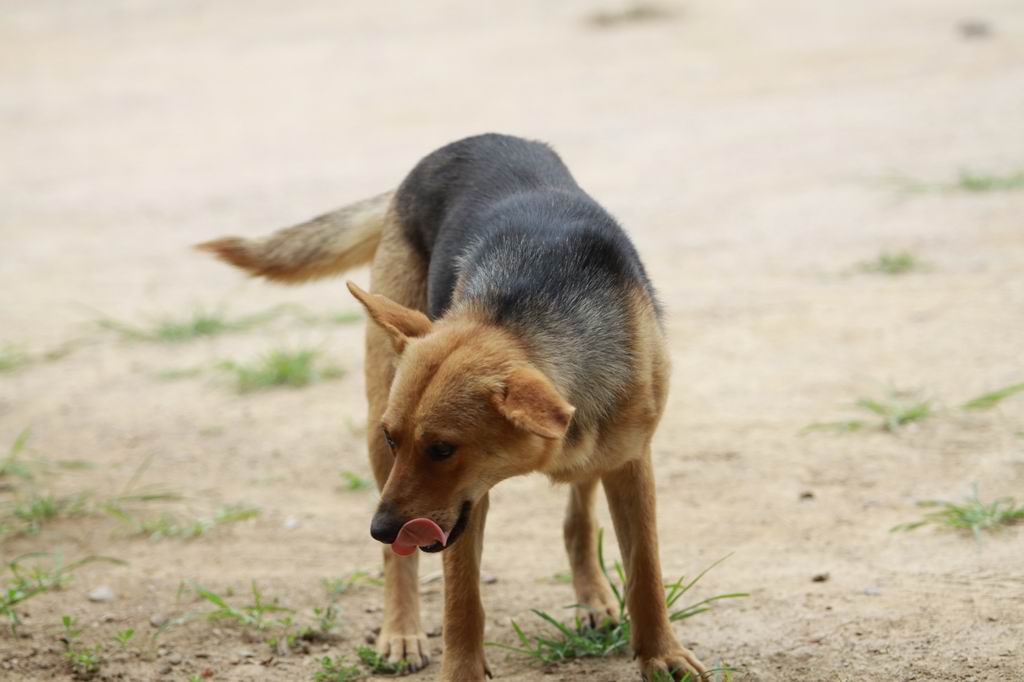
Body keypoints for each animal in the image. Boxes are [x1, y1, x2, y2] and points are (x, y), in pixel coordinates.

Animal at [200, 134, 712, 679]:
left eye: (443, 449)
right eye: (395, 438)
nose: (380, 530)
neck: (526, 309)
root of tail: (465, 142)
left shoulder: (630, 462)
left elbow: (645, 571)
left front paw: (662, 654)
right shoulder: (463, 505)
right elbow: (461, 599)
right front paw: (462, 669)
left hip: (595, 457)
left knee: (577, 518)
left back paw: (591, 598)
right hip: (380, 415)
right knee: (401, 562)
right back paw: (400, 632)